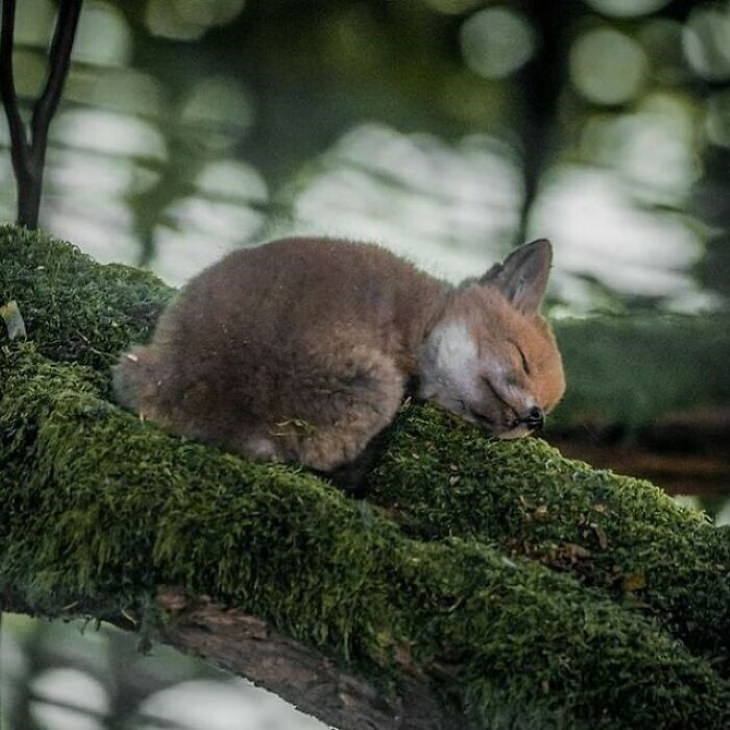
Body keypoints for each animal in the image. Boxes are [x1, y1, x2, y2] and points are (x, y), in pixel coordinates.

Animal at [112, 233, 564, 484]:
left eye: (549, 402)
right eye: (522, 359)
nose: (535, 418)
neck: (423, 320)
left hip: (134, 363)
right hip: (378, 387)